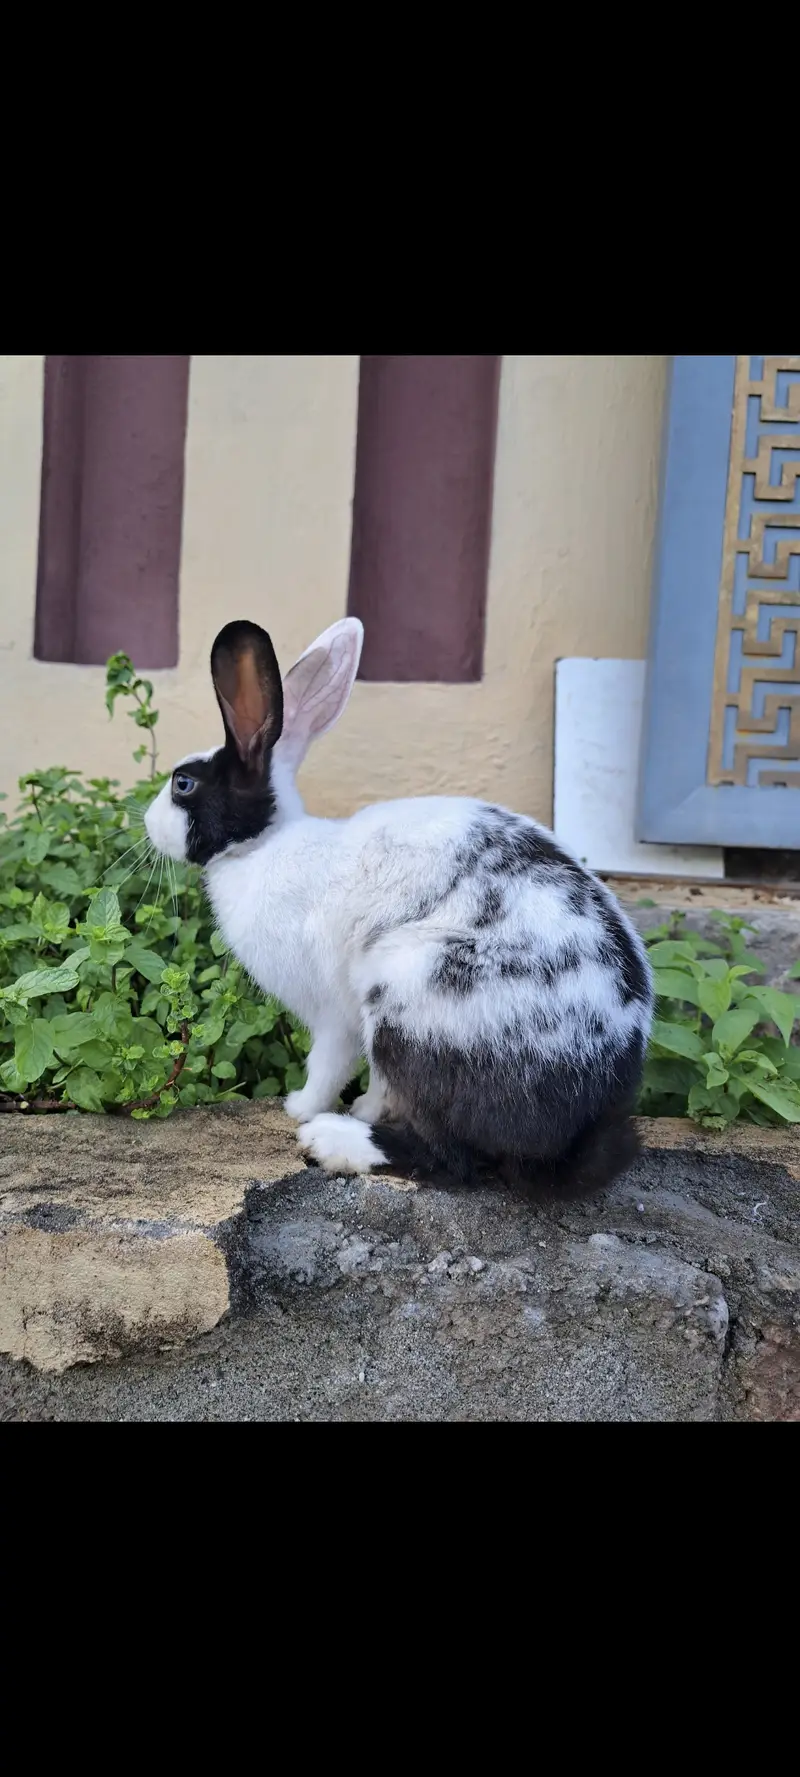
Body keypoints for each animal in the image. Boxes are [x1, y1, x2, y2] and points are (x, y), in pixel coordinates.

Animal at [145, 616, 654, 1197]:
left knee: (452, 1160)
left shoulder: (334, 1015)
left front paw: (298, 1107)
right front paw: (365, 1106)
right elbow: (378, 1088)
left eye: (183, 784)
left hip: (406, 994)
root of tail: (578, 1121)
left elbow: (328, 1065)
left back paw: (331, 1140)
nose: (146, 824)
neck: (264, 843)